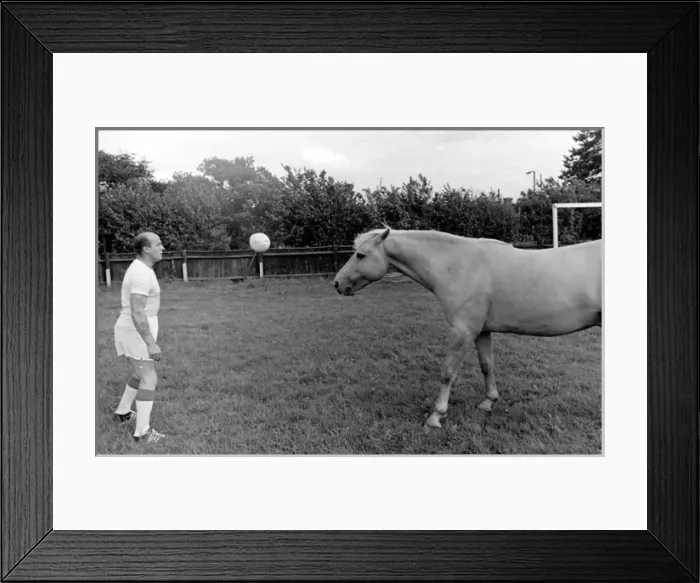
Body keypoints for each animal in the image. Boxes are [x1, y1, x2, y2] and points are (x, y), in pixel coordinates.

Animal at [333, 228, 602, 428]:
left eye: (360, 255)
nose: (337, 283)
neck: (459, 266)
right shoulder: (481, 331)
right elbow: (487, 365)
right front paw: (488, 402)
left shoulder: (463, 331)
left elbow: (447, 372)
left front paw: (436, 416)